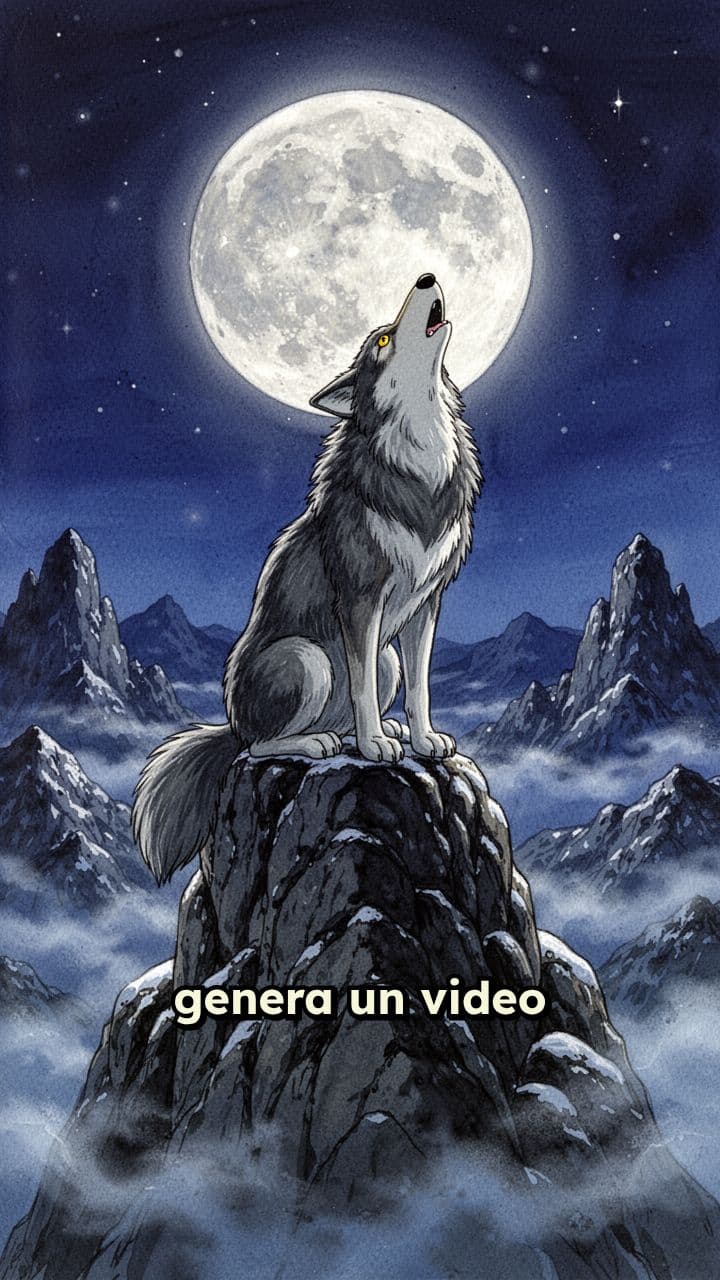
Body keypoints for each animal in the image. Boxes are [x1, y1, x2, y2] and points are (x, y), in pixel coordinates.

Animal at [133, 274, 482, 882]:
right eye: (383, 340)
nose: (425, 277)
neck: (420, 451)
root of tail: (231, 721)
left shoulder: (425, 604)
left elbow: (420, 686)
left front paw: (420, 737)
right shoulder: (361, 601)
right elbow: (364, 690)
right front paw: (373, 747)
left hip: (382, 656)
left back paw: (366, 732)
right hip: (307, 658)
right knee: (258, 746)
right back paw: (323, 741)